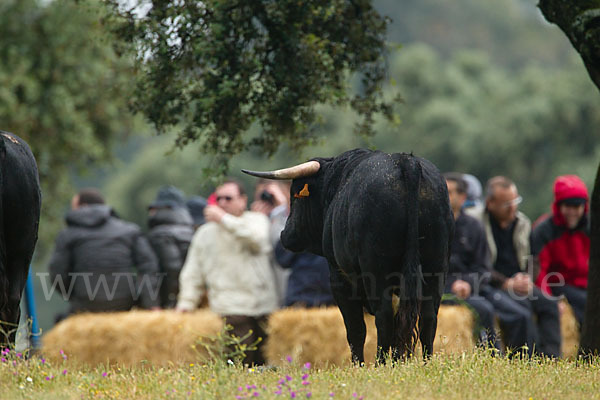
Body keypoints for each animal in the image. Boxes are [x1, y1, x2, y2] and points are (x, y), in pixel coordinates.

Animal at [241, 148, 452, 362]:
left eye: (295, 195)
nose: (284, 234)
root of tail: (406, 162)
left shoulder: (339, 278)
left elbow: (355, 329)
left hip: (376, 272)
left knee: (383, 317)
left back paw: (380, 363)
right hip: (435, 269)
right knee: (427, 318)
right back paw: (424, 361)